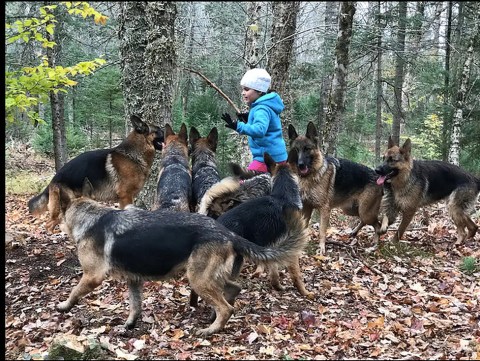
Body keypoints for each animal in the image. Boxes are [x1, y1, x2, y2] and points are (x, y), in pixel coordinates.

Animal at [50, 179, 306, 334]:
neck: (89, 217)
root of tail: (227, 232)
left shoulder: (92, 276)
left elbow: (74, 291)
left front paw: (64, 306)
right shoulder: (134, 281)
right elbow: (135, 305)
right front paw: (130, 324)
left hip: (198, 279)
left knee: (226, 307)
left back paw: (211, 329)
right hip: (207, 277)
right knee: (234, 289)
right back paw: (214, 316)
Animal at [213, 150, 312, 296]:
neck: (283, 196)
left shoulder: (276, 247)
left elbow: (274, 270)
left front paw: (277, 286)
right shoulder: (292, 250)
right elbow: (296, 275)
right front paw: (305, 292)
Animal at [288, 122, 382, 255]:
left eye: (307, 149)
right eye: (296, 150)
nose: (300, 165)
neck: (311, 176)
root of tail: (379, 178)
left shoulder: (324, 210)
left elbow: (322, 231)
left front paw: (321, 248)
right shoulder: (306, 208)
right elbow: (304, 227)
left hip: (365, 212)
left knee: (378, 226)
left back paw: (374, 245)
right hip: (352, 210)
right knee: (365, 221)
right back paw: (354, 232)